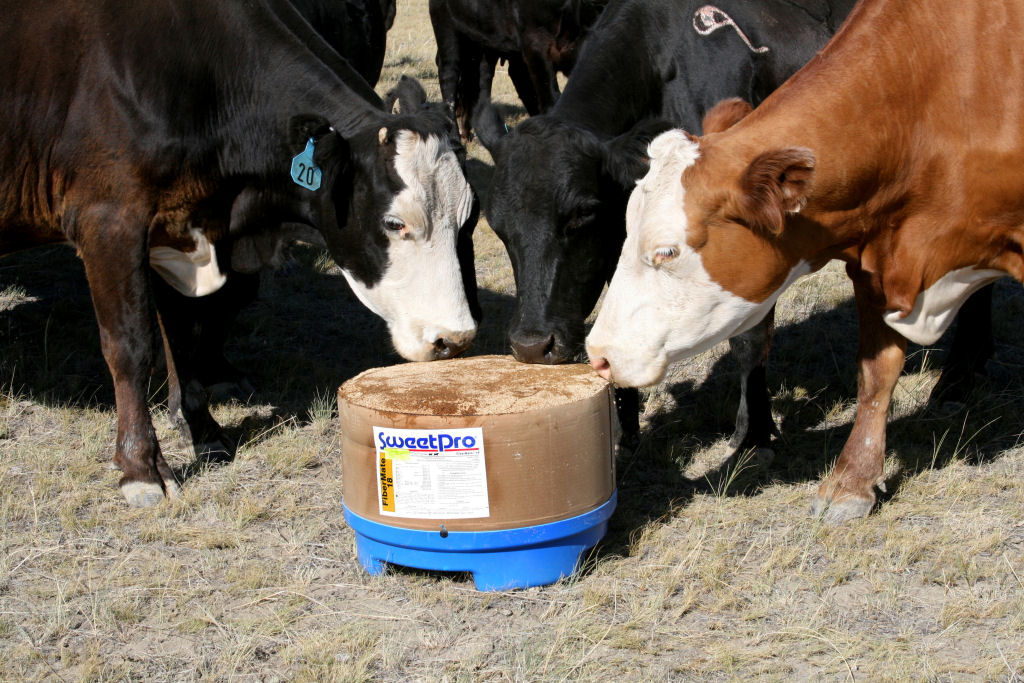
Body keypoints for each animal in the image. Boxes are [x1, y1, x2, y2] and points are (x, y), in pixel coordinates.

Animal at [0, 0, 478, 507]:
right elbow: (131, 346)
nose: (455, 339)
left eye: (468, 217)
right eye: (394, 223)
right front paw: (141, 467)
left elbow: (184, 335)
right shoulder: (110, 223)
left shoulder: (172, 229)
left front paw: (203, 429)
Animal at [429, 0, 606, 140]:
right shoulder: (536, 46)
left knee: (482, 80)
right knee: (449, 76)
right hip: (447, 28)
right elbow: (551, 99)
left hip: (483, 43)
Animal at [474, 0, 858, 450]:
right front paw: (624, 433)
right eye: (497, 224)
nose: (532, 346)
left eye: (582, 212)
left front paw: (755, 434)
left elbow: (749, 337)